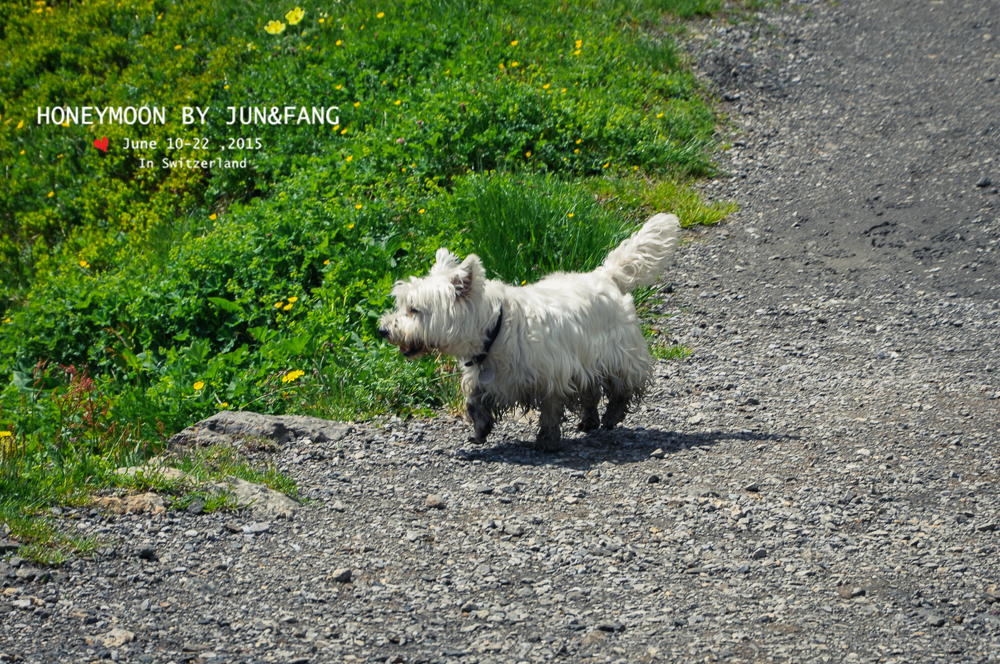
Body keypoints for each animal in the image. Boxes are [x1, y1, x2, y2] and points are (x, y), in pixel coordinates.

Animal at [378, 213, 684, 452]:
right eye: (401, 304)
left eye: (414, 309)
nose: (383, 329)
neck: (496, 328)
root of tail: (605, 276)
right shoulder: (487, 376)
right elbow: (473, 400)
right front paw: (480, 429)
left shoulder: (554, 373)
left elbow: (550, 409)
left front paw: (547, 440)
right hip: (590, 358)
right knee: (591, 390)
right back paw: (589, 419)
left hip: (617, 350)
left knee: (623, 385)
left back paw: (611, 415)